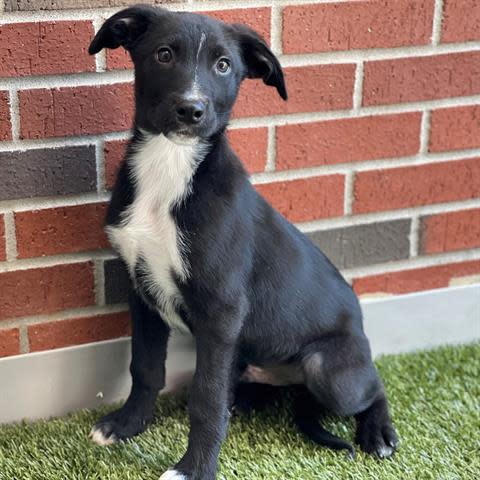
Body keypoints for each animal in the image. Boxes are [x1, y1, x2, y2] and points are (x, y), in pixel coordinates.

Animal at [89, 4, 398, 480]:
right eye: (163, 54)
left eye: (223, 65)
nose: (191, 110)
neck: (171, 167)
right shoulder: (141, 291)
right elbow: (145, 367)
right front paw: (128, 425)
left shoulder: (221, 311)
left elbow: (207, 399)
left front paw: (194, 469)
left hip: (329, 369)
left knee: (373, 385)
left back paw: (379, 431)